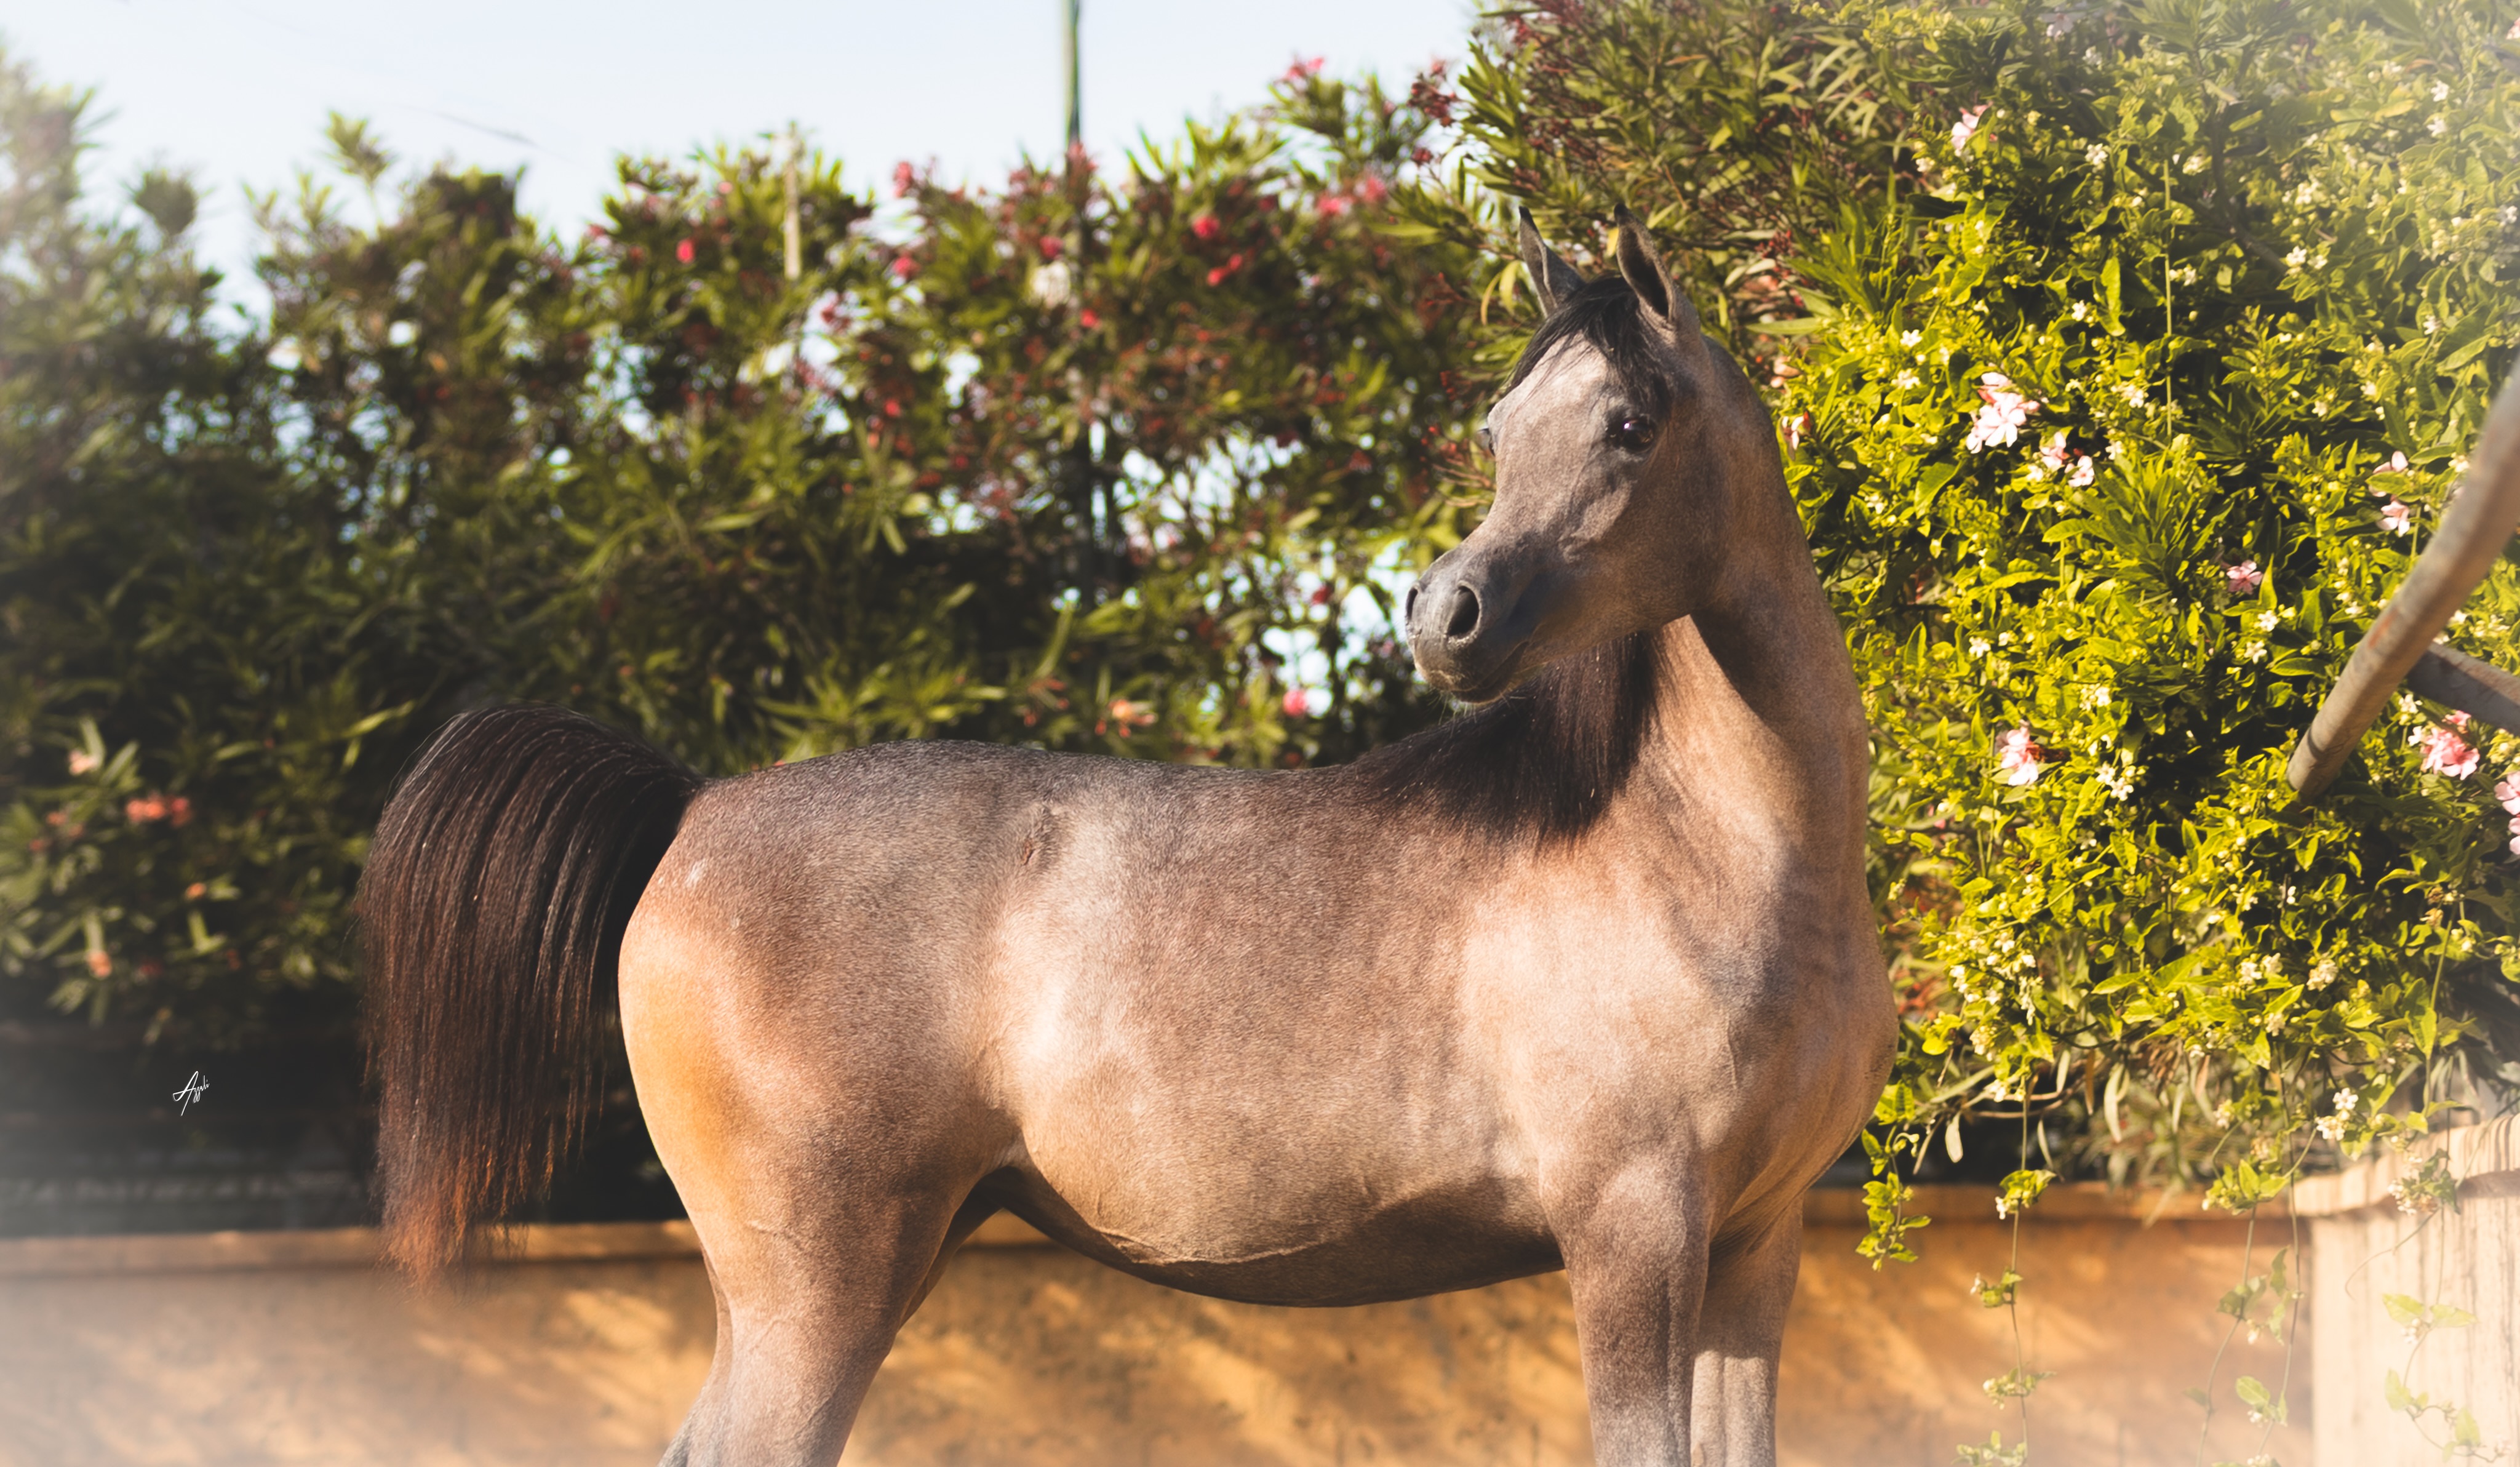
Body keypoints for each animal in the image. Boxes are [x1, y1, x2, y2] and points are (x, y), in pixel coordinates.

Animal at [359, 208, 1894, 1467]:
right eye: (1499, 430)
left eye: (1630, 421)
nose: (1443, 617)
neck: (1710, 860)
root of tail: (690, 808)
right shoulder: (1627, 1234)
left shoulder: (1747, 1250)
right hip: (820, 1285)